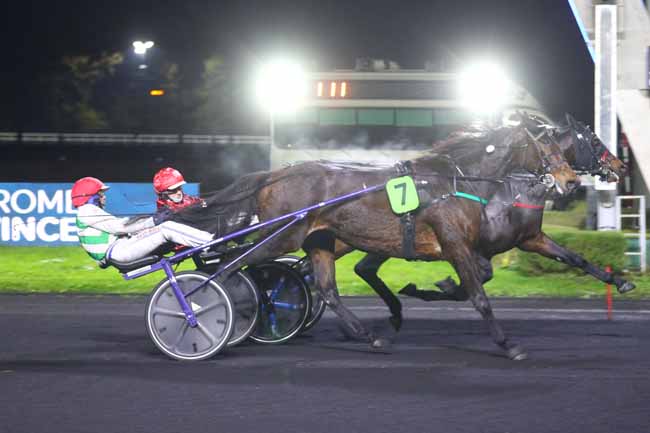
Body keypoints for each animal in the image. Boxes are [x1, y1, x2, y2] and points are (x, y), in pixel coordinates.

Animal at [170, 123, 576, 360]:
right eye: (548, 149)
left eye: (563, 149)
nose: (570, 181)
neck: (453, 182)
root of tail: (273, 175)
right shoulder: (454, 244)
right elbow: (479, 296)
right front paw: (508, 345)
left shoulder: (467, 248)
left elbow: (477, 280)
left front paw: (430, 291)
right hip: (282, 235)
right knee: (230, 267)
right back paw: (201, 312)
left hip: (318, 240)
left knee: (326, 290)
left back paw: (369, 337)